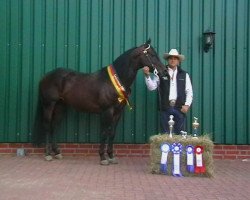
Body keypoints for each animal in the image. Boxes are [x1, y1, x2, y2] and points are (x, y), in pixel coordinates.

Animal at [33, 39, 166, 164]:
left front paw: (111, 156)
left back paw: (57, 152)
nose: (164, 71)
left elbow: (111, 133)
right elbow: (104, 133)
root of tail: (45, 77)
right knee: (47, 126)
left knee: (54, 126)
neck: (116, 80)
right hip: (49, 105)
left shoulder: (118, 113)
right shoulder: (107, 111)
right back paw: (48, 154)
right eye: (152, 55)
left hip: (60, 106)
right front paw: (103, 157)